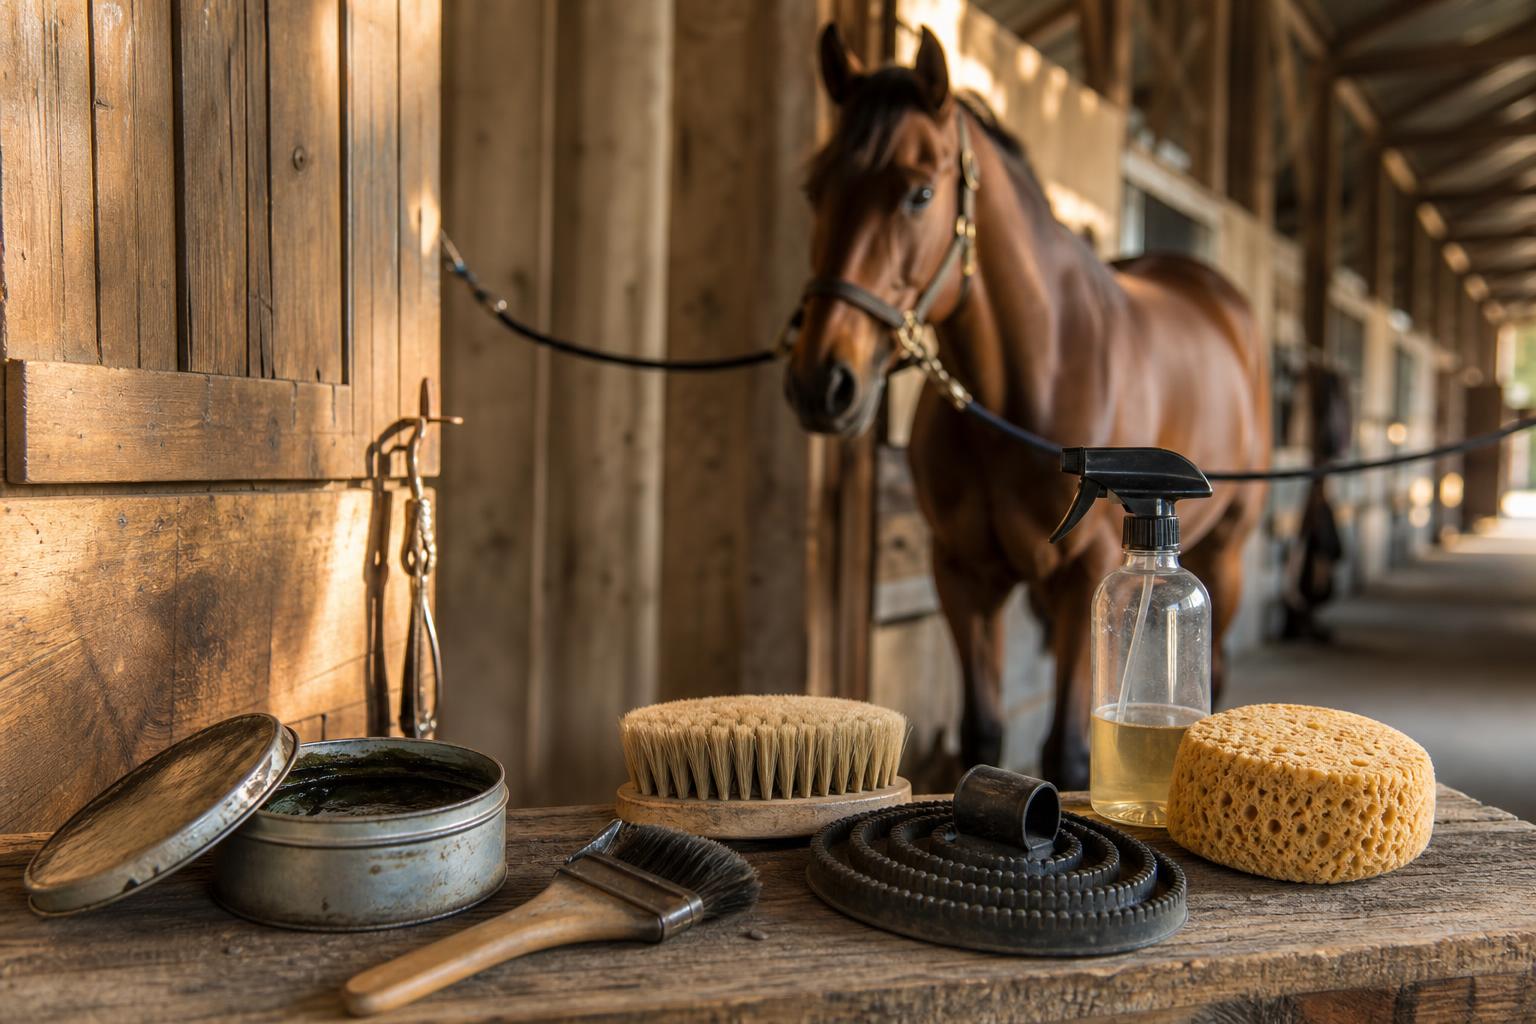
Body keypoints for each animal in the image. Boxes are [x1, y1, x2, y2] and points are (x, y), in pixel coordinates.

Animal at [783, 24, 1270, 789]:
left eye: (920, 192)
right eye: (814, 188)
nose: (821, 381)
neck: (1029, 378)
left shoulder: (1079, 578)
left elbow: (1065, 750)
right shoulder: (964, 576)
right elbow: (981, 732)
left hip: (1229, 551)